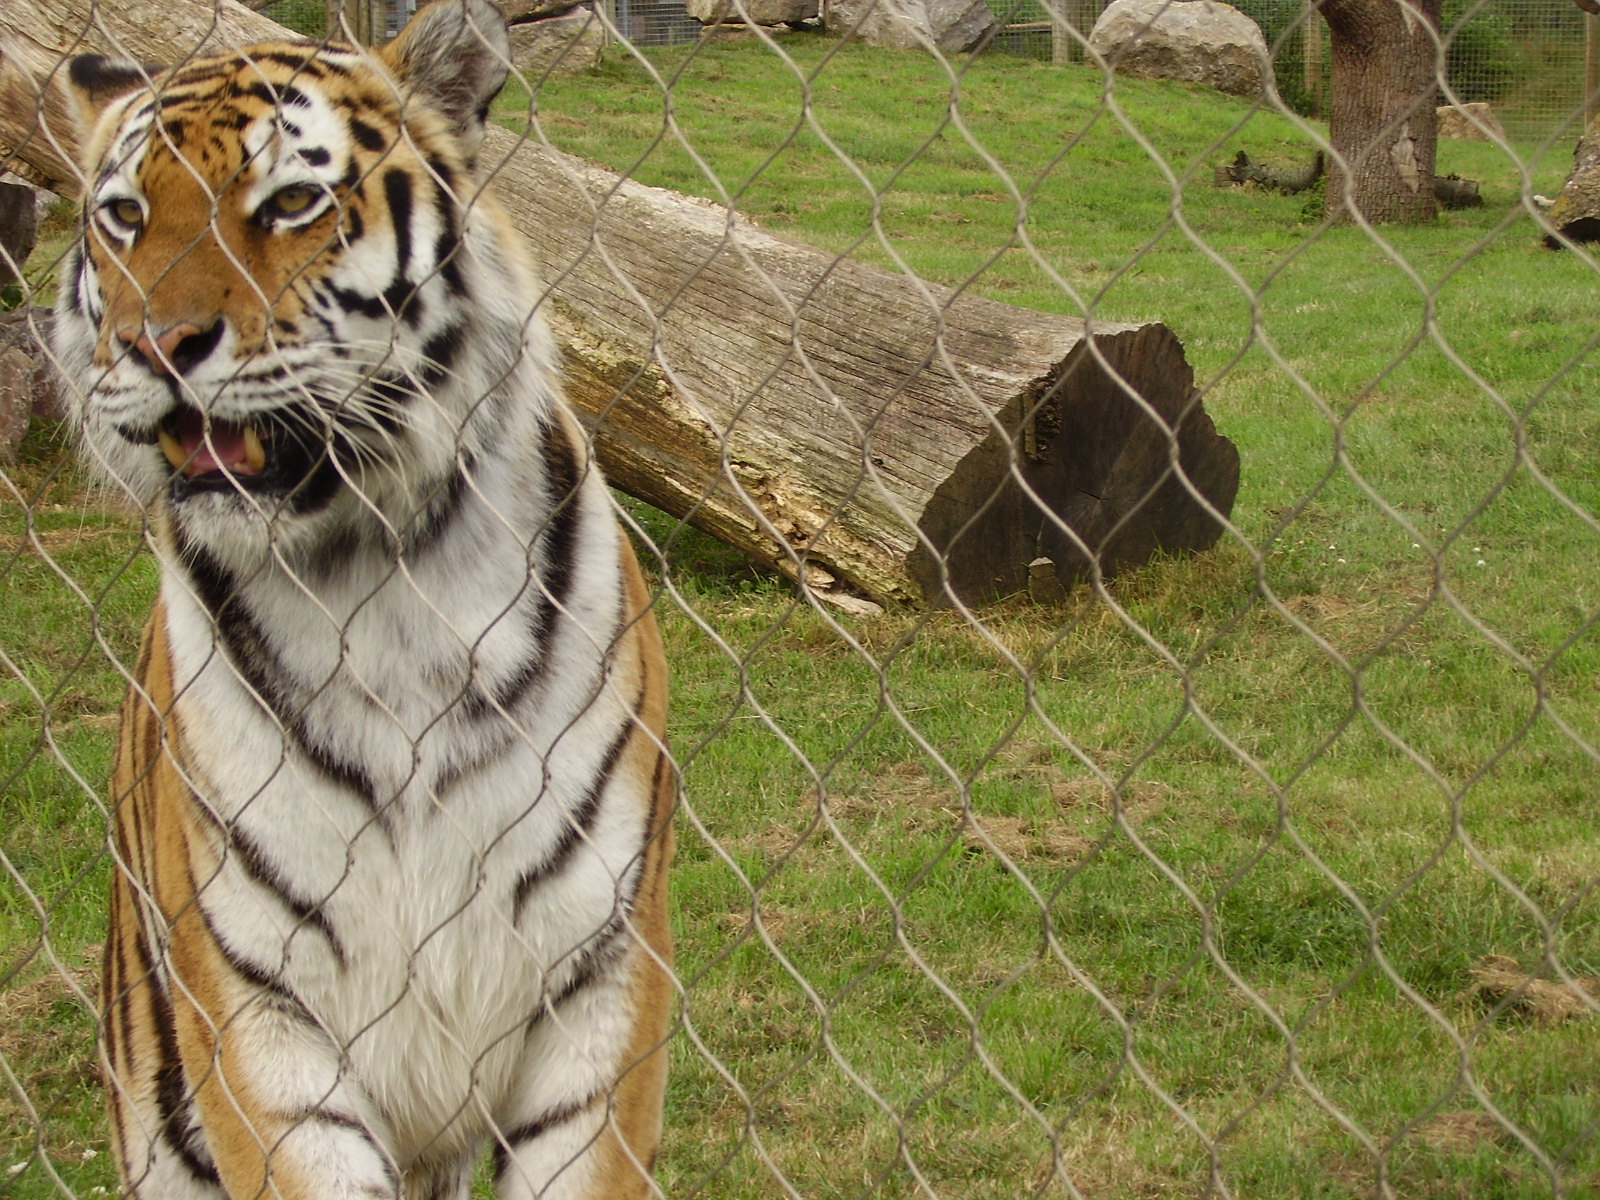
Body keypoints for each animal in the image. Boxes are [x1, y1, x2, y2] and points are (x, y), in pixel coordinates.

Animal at [51, 3, 675, 1199]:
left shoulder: (600, 978)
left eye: (291, 203)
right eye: (125, 218)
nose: (154, 346)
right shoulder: (256, 1010)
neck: (378, 575)